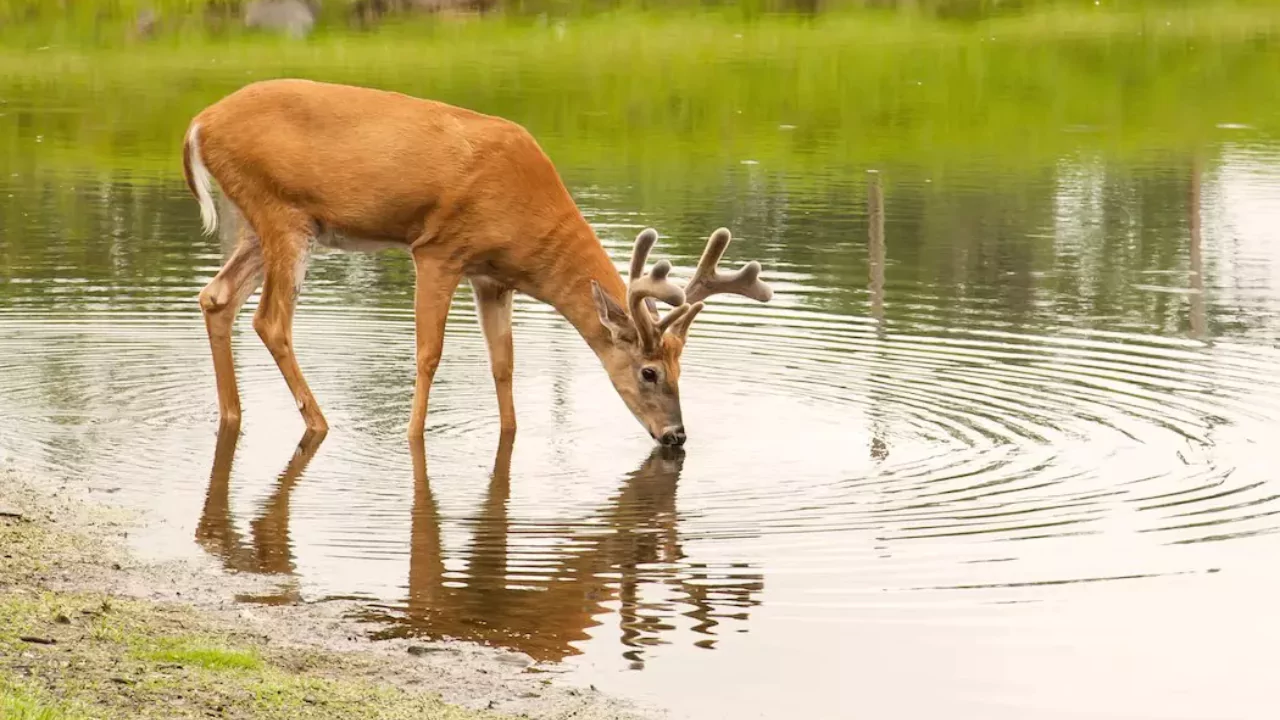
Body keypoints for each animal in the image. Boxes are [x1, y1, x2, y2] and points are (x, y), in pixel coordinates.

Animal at [181, 78, 772, 447]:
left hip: (262, 224)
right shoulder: (438, 249)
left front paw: (509, 433)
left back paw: (232, 416)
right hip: (282, 214)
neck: (527, 213)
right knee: (270, 320)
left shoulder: (493, 277)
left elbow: (503, 363)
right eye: (650, 372)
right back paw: (319, 424)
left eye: (682, 369)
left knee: (216, 296)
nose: (676, 436)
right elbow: (428, 354)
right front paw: (413, 436)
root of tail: (198, 123)